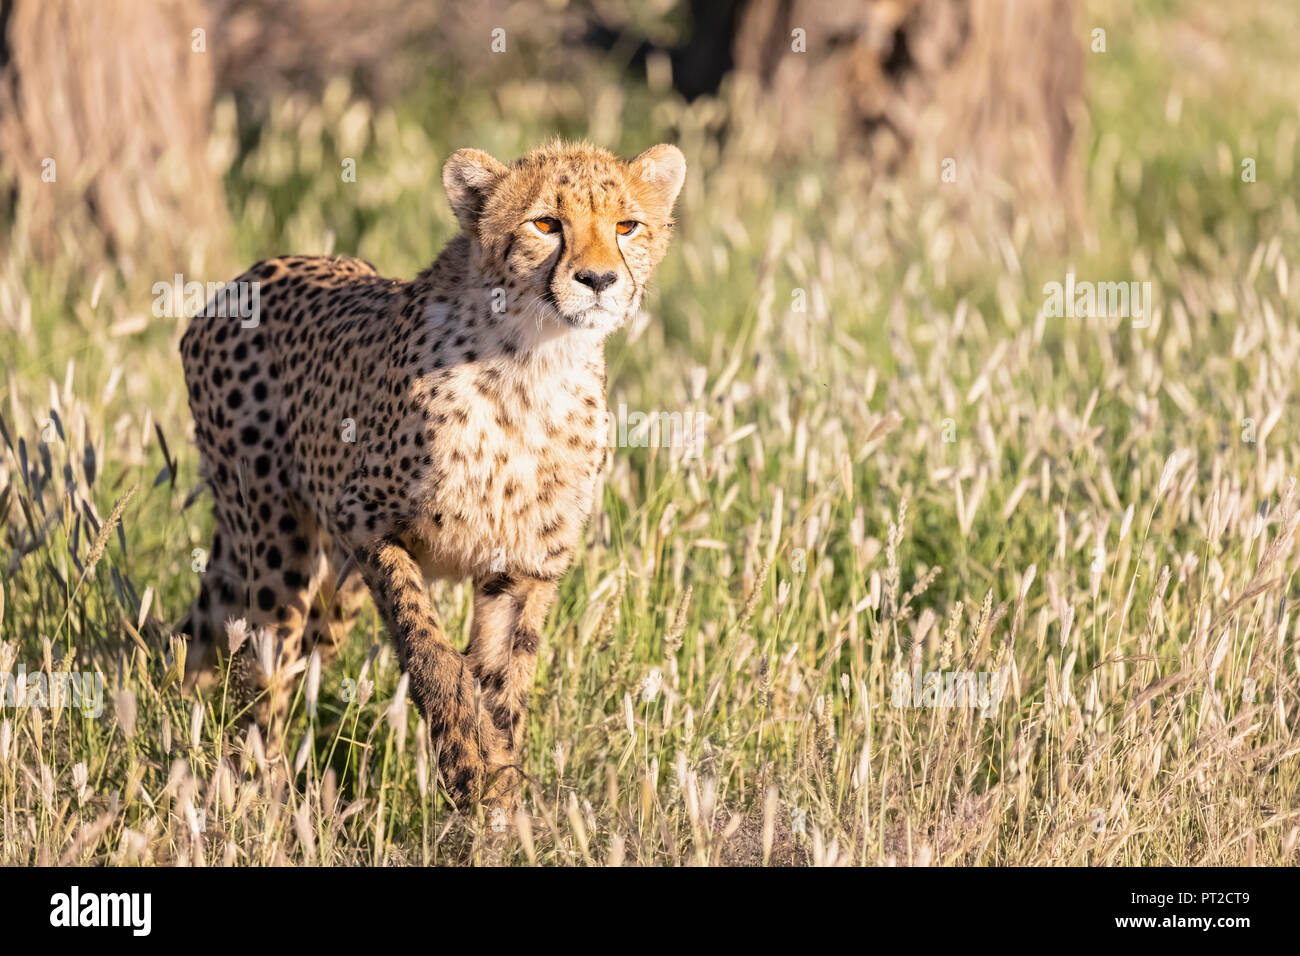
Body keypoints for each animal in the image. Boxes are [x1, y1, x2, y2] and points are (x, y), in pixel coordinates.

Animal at [182, 141, 686, 811]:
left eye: (627, 226)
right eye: (546, 224)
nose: (600, 280)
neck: (534, 365)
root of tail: (245, 279)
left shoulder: (520, 565)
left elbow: (506, 682)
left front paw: (499, 797)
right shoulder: (365, 520)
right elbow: (429, 648)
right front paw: (464, 753)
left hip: (335, 585)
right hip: (276, 545)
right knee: (263, 672)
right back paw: (260, 791)